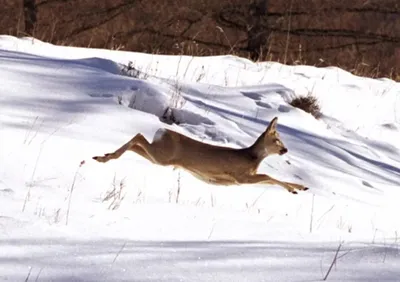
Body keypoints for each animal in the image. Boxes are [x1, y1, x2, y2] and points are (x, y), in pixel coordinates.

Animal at [94, 117, 310, 194]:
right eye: (277, 140)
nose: (285, 150)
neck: (251, 157)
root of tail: (162, 131)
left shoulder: (242, 179)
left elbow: (269, 178)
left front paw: (301, 187)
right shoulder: (240, 177)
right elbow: (269, 176)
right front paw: (293, 190)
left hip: (159, 157)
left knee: (137, 143)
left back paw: (104, 155)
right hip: (162, 155)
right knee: (138, 136)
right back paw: (104, 157)